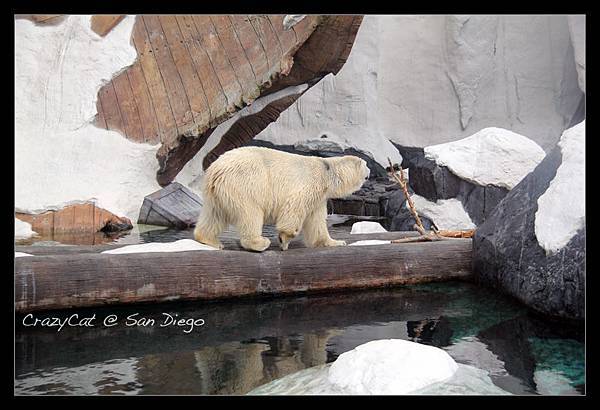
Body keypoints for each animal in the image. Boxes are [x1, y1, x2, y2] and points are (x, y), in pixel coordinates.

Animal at [192, 146, 370, 251]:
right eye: (366, 165)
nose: (369, 172)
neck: (326, 171)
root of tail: (216, 169)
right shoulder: (309, 184)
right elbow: (294, 208)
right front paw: (284, 238)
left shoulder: (318, 198)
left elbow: (316, 222)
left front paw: (336, 242)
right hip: (245, 184)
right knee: (250, 214)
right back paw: (260, 242)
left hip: (216, 193)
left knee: (214, 215)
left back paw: (210, 240)